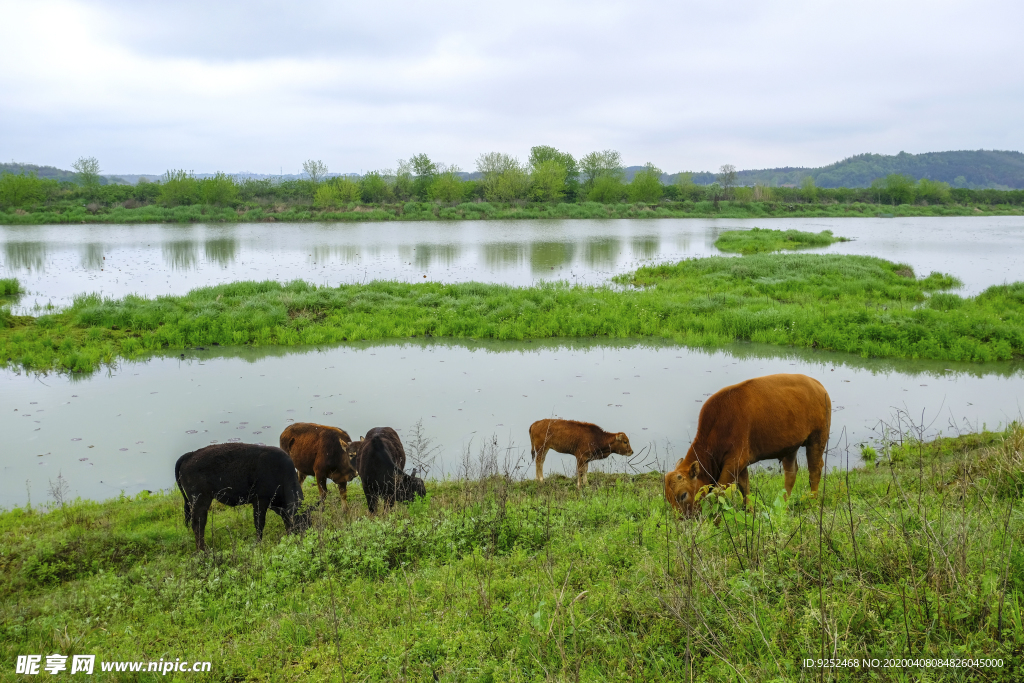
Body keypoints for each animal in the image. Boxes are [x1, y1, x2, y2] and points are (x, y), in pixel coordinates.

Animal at [174, 444, 309, 548]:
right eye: (299, 521)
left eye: (308, 518)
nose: (306, 535)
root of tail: (190, 455)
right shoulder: (260, 501)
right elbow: (259, 524)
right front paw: (258, 544)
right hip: (200, 500)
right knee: (198, 524)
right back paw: (203, 551)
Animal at [663, 376, 831, 516]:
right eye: (668, 498)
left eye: (683, 495)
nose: (682, 520)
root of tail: (817, 384)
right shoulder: (741, 463)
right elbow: (745, 487)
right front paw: (749, 511)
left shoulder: (734, 462)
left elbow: (719, 491)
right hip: (790, 447)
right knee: (791, 474)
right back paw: (784, 507)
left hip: (817, 438)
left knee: (814, 470)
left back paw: (812, 503)